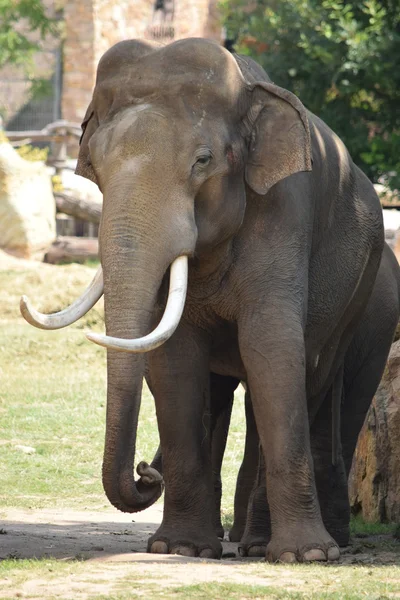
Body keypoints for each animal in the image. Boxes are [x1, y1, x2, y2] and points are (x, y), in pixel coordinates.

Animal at [19, 39, 384, 564]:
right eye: (95, 167)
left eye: (203, 161)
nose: (145, 472)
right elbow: (175, 361)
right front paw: (178, 547)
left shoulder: (283, 210)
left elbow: (270, 346)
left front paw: (306, 557)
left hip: (359, 292)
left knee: (311, 375)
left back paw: (270, 545)